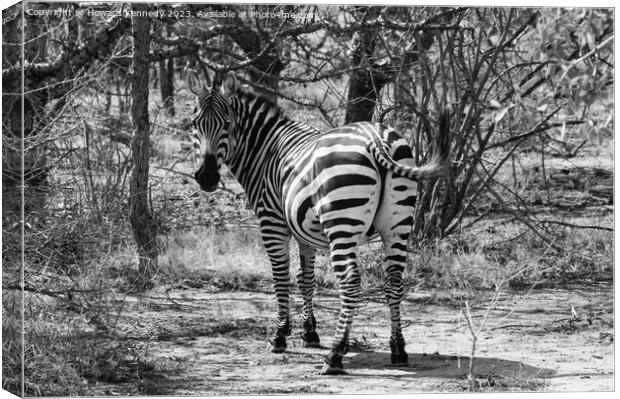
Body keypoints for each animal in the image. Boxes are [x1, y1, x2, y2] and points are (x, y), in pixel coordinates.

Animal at [184, 71, 450, 376]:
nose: (206, 178)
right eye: (194, 124)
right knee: (394, 280)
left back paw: (335, 356)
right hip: (398, 226)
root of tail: (376, 138)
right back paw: (398, 349)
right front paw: (310, 333)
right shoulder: (304, 231)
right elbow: (306, 279)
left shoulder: (272, 222)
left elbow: (280, 277)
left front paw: (280, 336)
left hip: (342, 223)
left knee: (349, 281)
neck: (264, 150)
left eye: (227, 124)